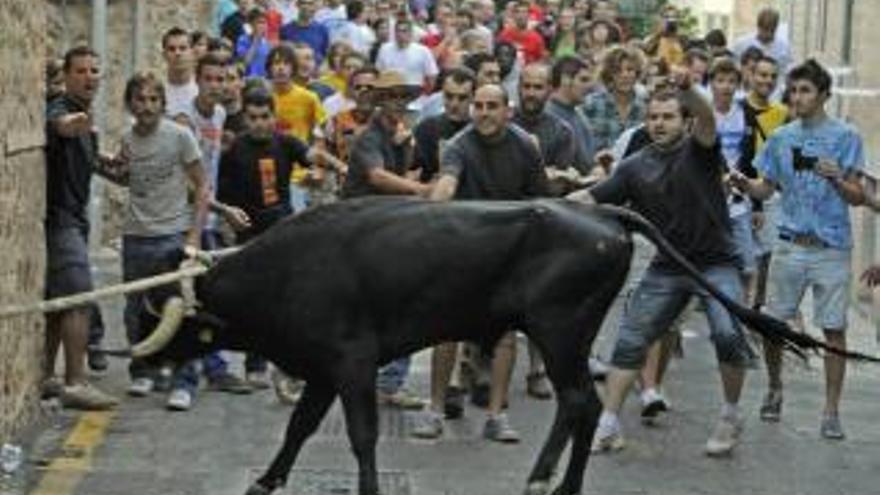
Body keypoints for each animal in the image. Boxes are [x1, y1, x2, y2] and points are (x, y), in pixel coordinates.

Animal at [134, 196, 868, 495]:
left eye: (170, 321)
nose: (139, 358)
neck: (289, 268)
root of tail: (600, 211)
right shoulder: (322, 369)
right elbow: (298, 428)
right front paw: (267, 478)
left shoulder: (352, 361)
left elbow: (362, 436)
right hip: (563, 335)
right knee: (581, 402)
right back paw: (556, 479)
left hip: (560, 331)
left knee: (579, 401)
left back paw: (552, 479)